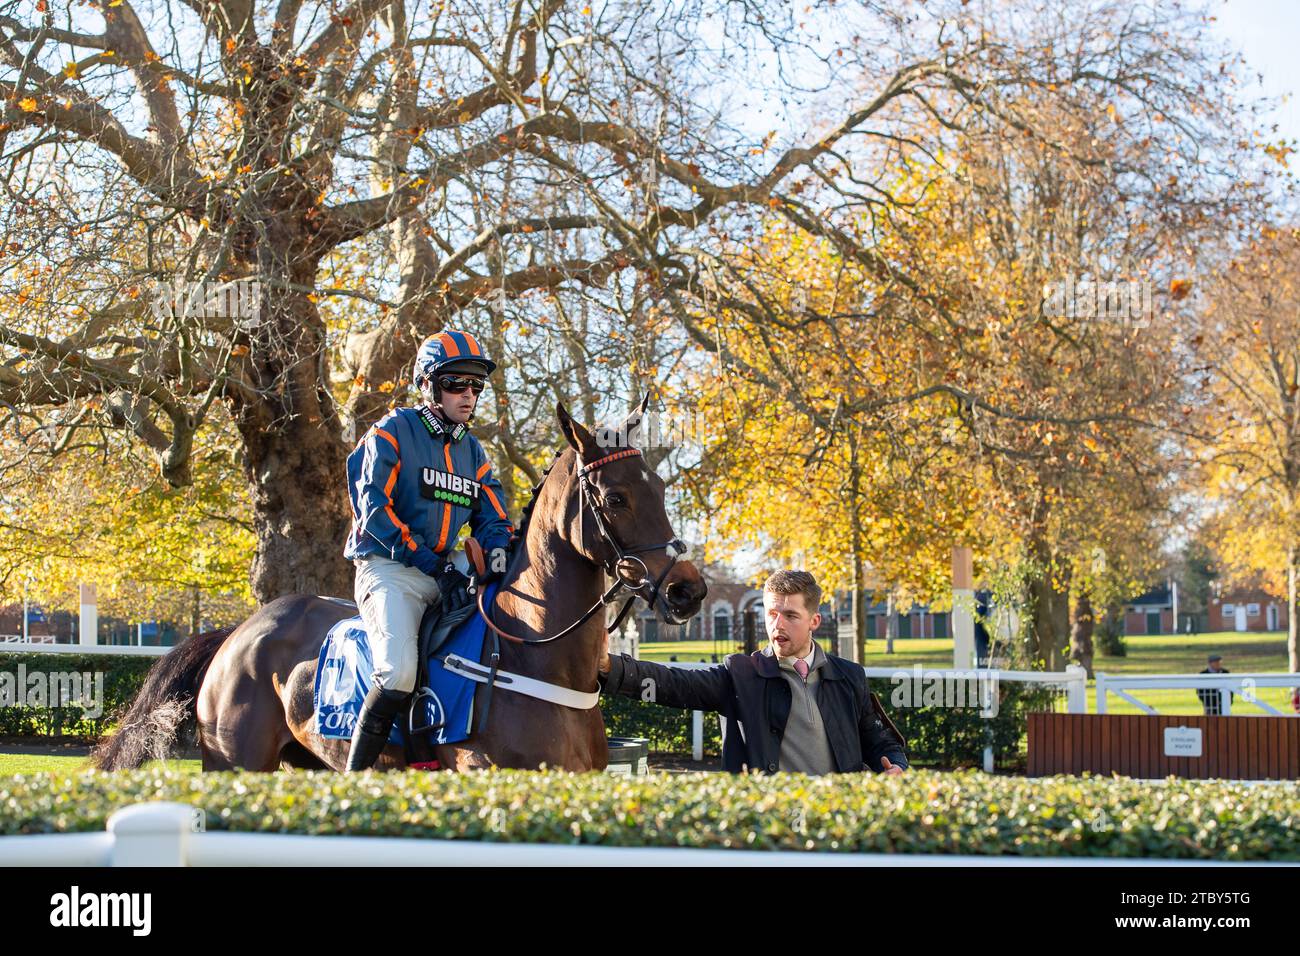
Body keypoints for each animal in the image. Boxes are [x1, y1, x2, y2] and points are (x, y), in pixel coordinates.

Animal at [92, 400, 707, 775]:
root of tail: (238, 632)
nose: (688, 591)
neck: (530, 655)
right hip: (232, 762)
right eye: (616, 498)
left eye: (658, 488)